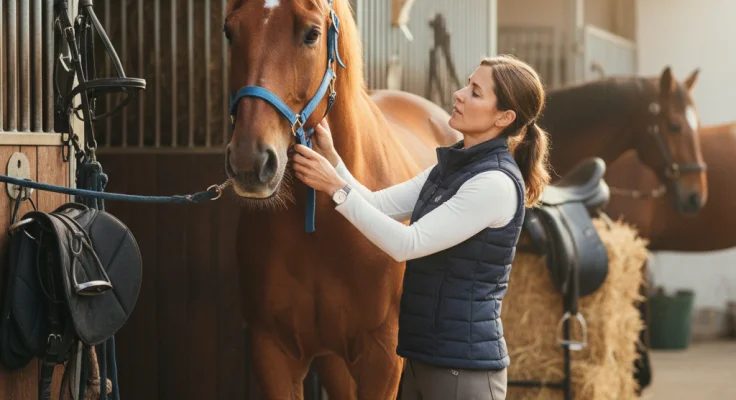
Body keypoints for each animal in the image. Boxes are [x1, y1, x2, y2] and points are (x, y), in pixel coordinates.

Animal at [224, 0, 459, 398]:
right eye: (230, 31)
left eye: (312, 34)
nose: (250, 162)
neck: (321, 230)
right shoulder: (272, 351)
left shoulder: (383, 357)